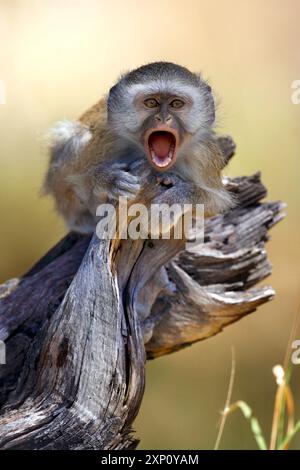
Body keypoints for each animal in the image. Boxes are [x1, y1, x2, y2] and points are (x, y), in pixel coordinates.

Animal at [43, 61, 233, 234]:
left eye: (176, 104)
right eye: (151, 103)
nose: (163, 118)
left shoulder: (203, 156)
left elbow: (219, 204)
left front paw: (172, 201)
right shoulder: (104, 139)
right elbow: (77, 181)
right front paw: (106, 179)